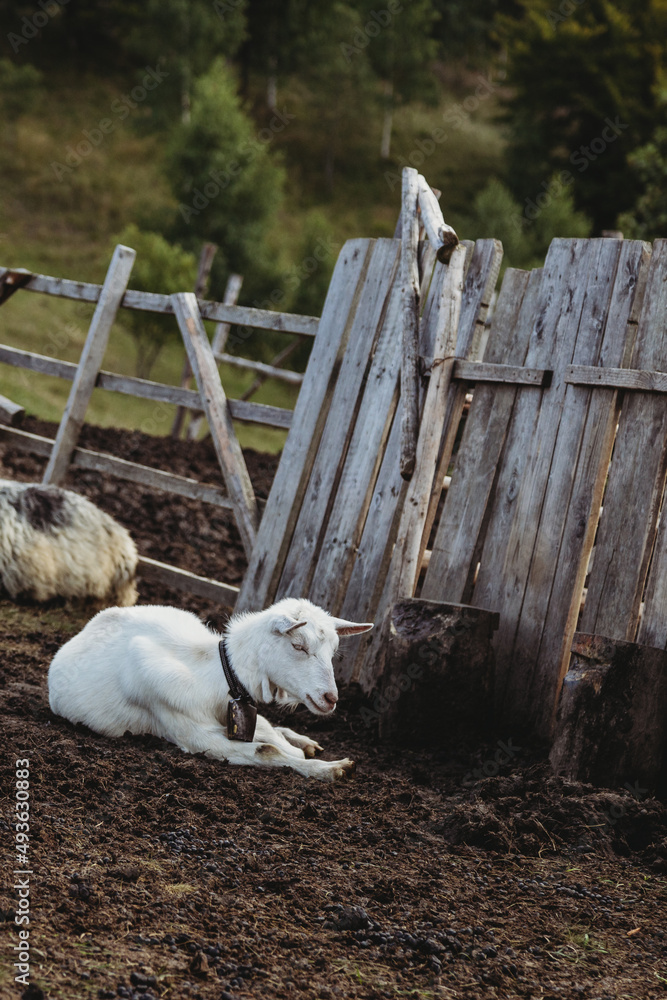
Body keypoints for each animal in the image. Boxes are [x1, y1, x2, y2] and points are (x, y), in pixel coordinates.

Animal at [48, 599, 373, 781]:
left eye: (334, 651)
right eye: (298, 646)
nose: (330, 698)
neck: (216, 677)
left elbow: (269, 734)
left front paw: (304, 748)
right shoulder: (194, 735)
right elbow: (267, 749)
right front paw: (332, 769)